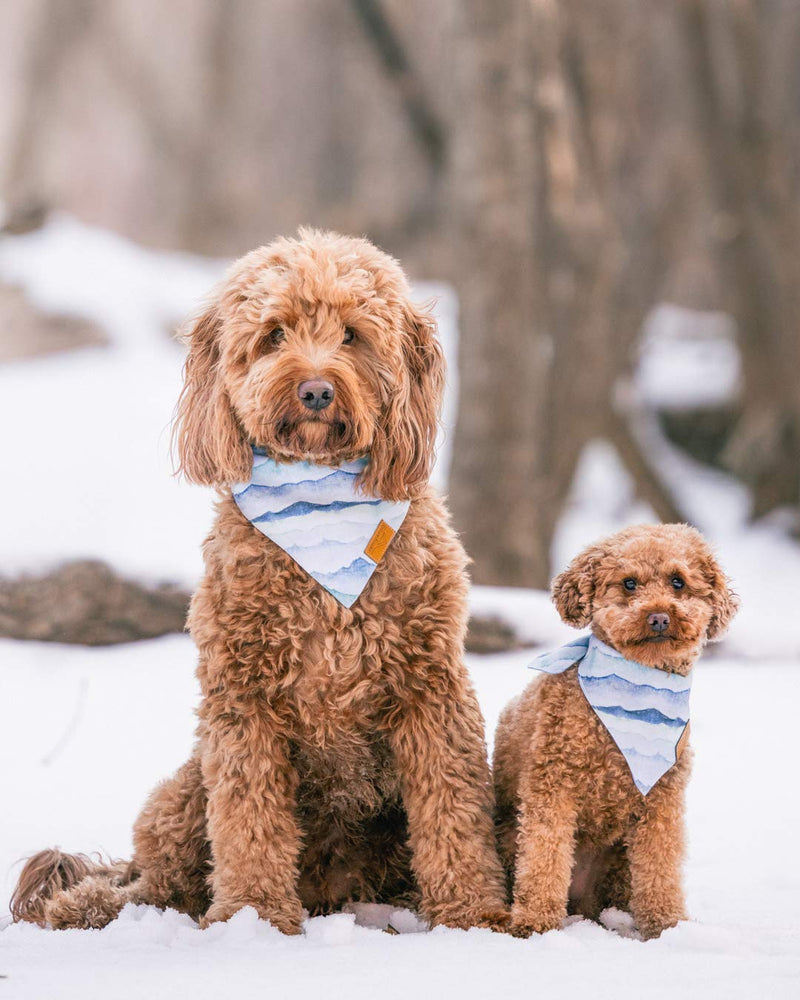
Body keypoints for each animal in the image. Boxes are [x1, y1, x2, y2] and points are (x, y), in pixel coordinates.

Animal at [12, 230, 506, 932]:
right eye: (274, 335)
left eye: (352, 335)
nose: (317, 390)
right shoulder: (243, 703)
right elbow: (249, 820)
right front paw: (253, 918)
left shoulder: (429, 690)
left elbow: (453, 810)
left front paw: (471, 913)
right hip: (187, 788)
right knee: (153, 881)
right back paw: (85, 906)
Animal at [494, 524, 736, 936]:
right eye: (628, 583)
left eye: (678, 581)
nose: (659, 617)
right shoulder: (552, 784)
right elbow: (543, 857)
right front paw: (535, 923)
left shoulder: (662, 796)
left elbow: (660, 864)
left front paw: (666, 925)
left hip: (617, 863)